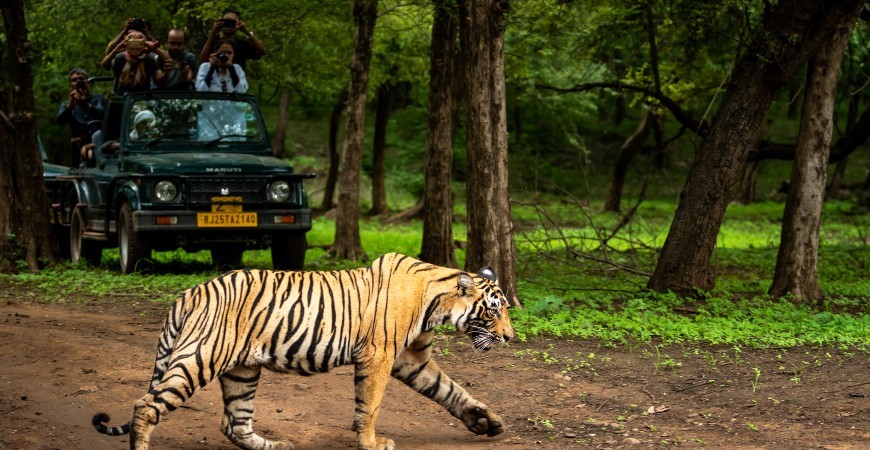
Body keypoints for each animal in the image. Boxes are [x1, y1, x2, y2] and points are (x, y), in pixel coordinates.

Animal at [93, 253, 516, 450]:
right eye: (494, 309)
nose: (511, 337)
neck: (437, 303)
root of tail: (189, 292)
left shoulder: (411, 360)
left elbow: (452, 390)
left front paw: (487, 423)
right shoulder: (379, 356)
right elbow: (370, 405)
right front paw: (371, 442)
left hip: (242, 370)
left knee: (234, 422)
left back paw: (275, 445)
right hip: (200, 357)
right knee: (145, 406)